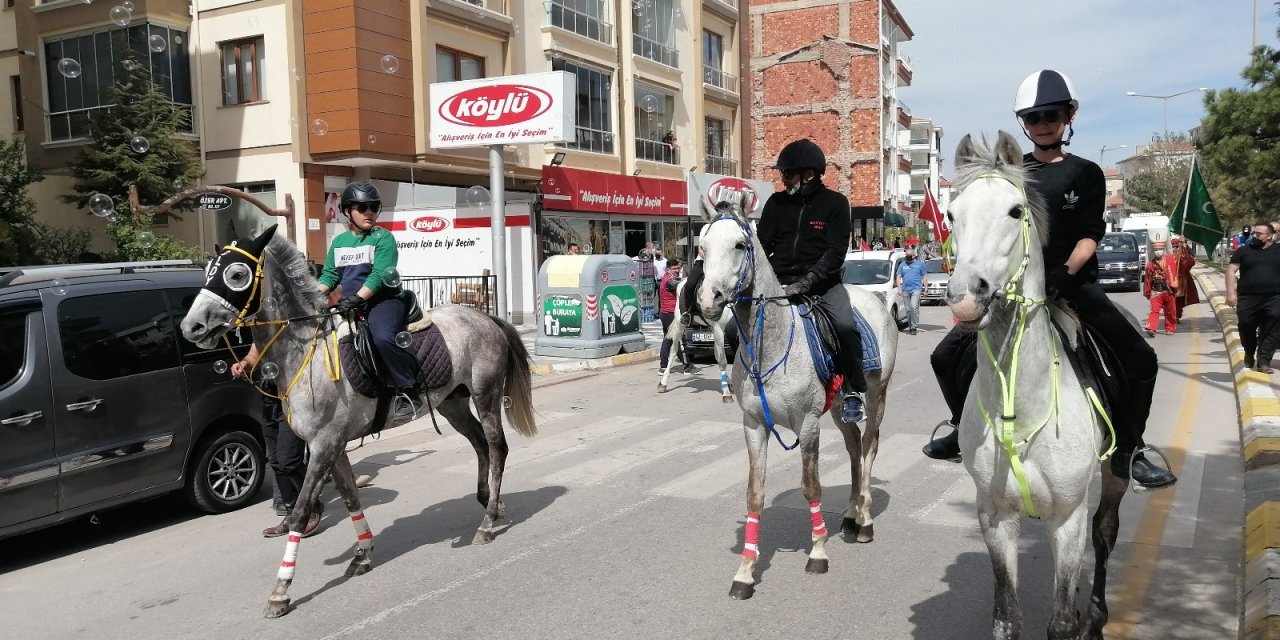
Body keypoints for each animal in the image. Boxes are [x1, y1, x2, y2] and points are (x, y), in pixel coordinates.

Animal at [177, 226, 532, 619]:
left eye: (236, 274)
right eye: (209, 270)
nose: (191, 326)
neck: (306, 353)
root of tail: (485, 317)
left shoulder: (324, 446)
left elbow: (300, 513)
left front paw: (281, 590)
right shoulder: (332, 447)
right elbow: (349, 498)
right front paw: (363, 554)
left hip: (486, 396)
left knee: (498, 447)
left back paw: (487, 523)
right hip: (453, 404)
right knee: (481, 445)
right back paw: (490, 503)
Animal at [696, 186, 896, 596]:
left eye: (740, 244)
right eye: (702, 247)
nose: (708, 300)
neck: (770, 345)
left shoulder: (807, 424)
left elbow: (812, 487)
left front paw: (817, 552)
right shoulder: (754, 425)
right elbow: (754, 494)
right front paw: (745, 570)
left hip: (876, 395)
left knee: (869, 448)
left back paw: (865, 520)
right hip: (837, 408)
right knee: (854, 447)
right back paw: (850, 515)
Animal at [947, 131, 1126, 640]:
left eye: (1014, 211)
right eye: (950, 214)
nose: (964, 298)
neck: (1020, 405)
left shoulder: (1068, 520)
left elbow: (1061, 622)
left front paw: (1079, 620)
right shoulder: (993, 516)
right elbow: (1007, 618)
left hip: (1114, 474)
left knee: (1105, 531)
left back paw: (1097, 617)